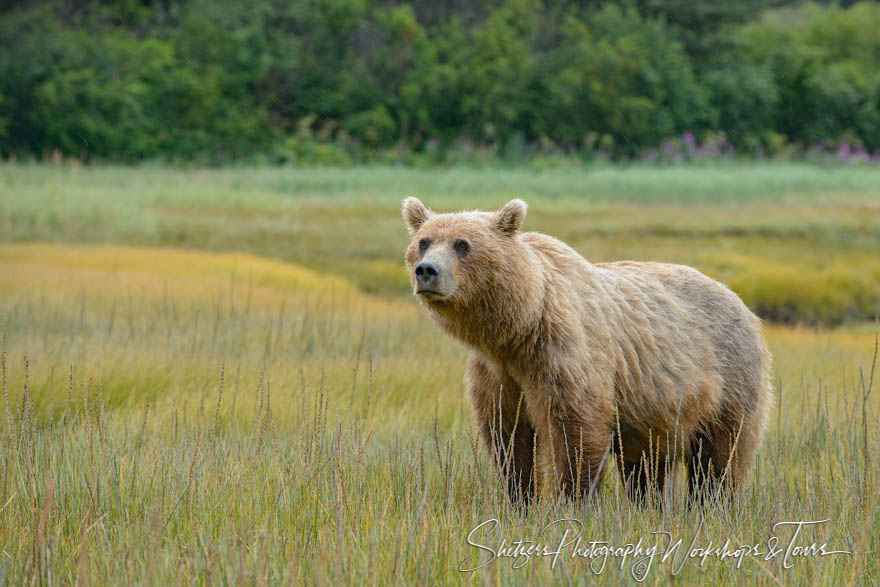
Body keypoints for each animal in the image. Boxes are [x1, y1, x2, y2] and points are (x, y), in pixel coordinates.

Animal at [402, 198, 772, 506]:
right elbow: (508, 439)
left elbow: (576, 431)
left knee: (719, 455)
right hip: (655, 409)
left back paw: (710, 504)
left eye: (462, 245)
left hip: (728, 375)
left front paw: (574, 502)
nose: (428, 270)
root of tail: (741, 302)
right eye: (424, 242)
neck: (517, 328)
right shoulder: (496, 374)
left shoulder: (561, 354)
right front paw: (520, 501)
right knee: (646, 465)